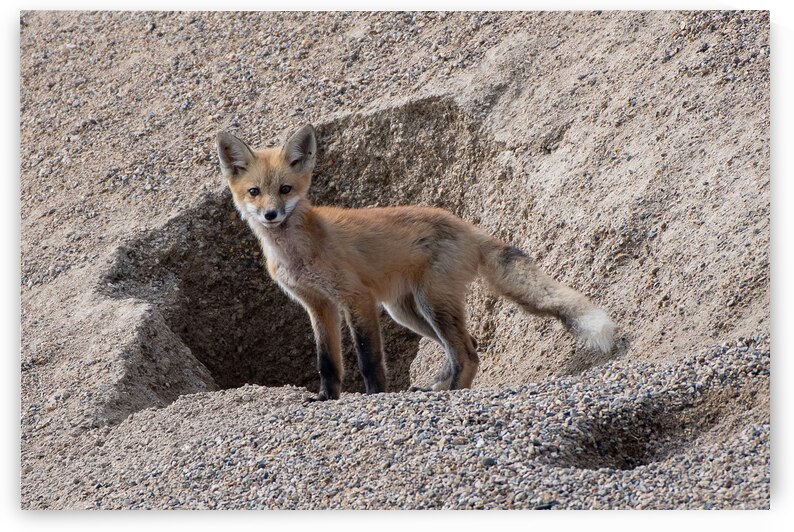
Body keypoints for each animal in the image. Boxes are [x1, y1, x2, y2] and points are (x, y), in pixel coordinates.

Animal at [216, 124, 616, 400]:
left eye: (285, 189)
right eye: (254, 192)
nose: (270, 215)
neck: (298, 252)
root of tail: (465, 225)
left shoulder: (356, 298)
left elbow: (368, 358)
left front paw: (376, 396)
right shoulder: (318, 305)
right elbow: (327, 361)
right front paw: (326, 398)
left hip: (431, 304)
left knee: (468, 353)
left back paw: (452, 392)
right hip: (408, 311)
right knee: (465, 348)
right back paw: (439, 387)